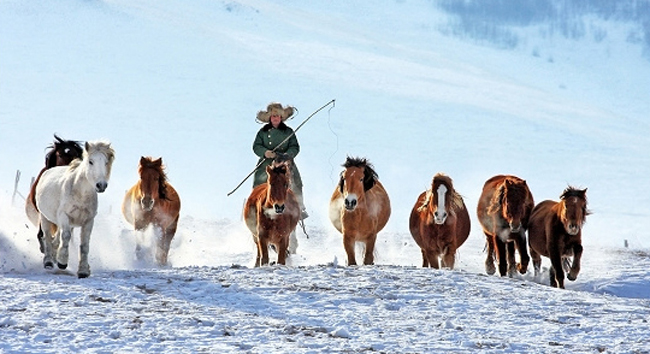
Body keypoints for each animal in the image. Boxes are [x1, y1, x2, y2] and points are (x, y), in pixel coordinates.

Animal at [35, 140, 114, 278]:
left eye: (106, 162)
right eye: (90, 161)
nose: (101, 185)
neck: (80, 192)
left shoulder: (88, 221)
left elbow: (85, 245)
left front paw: (83, 271)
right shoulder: (64, 216)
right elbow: (65, 237)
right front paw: (62, 262)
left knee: (56, 239)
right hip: (45, 218)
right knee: (47, 237)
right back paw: (49, 262)